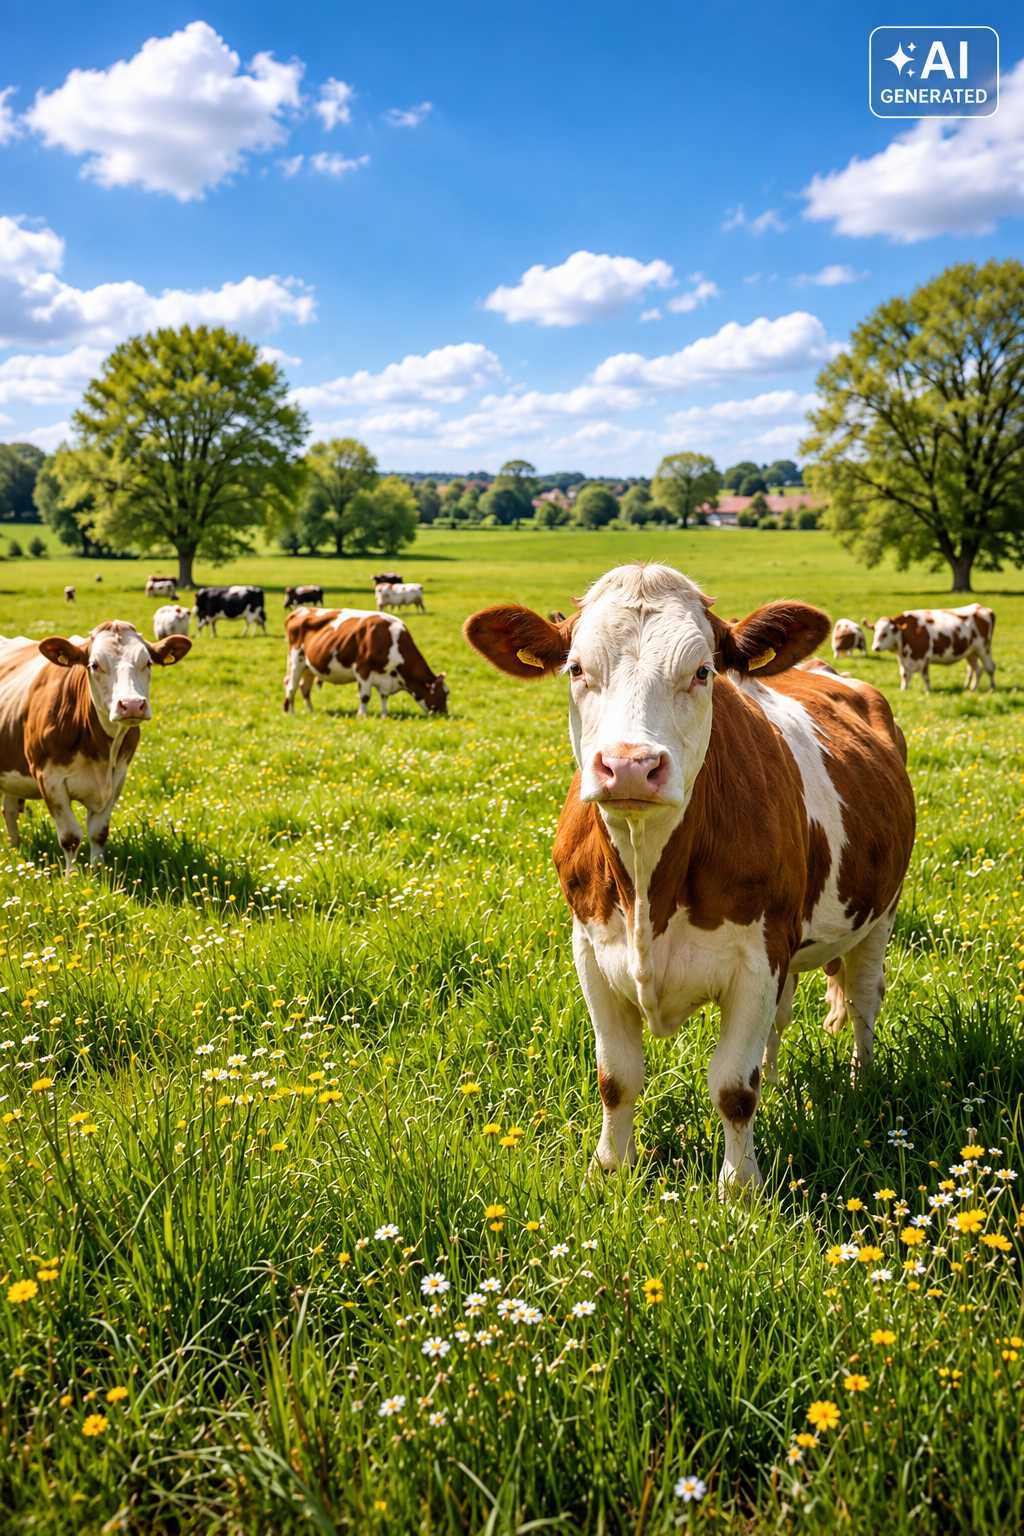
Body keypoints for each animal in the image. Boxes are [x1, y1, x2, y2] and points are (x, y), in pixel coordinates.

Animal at [0, 621, 190, 873]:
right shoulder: (49, 779)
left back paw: (15, 848)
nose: (132, 704)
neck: (100, 751)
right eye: (94, 665)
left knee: (10, 809)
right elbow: (70, 837)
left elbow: (99, 833)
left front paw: (99, 872)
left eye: (148, 662)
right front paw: (71, 878)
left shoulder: (116, 778)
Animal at [283, 608, 448, 718]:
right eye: (444, 694)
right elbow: (365, 696)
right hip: (295, 660)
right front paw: (362, 716)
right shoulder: (363, 669)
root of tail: (301, 610)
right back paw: (291, 713)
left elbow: (384, 697)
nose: (445, 715)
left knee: (304, 687)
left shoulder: (385, 677)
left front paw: (385, 715)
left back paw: (311, 711)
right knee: (291, 686)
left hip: (309, 666)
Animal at [464, 563, 915, 1195]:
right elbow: (616, 1076)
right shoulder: (590, 951)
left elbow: (733, 1087)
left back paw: (861, 1084)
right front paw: (611, 1169)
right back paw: (782, 1082)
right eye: (576, 669)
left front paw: (740, 1188)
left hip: (881, 911)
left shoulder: (758, 956)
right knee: (781, 1022)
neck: (648, 882)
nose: (629, 765)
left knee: (863, 998)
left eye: (702, 671)